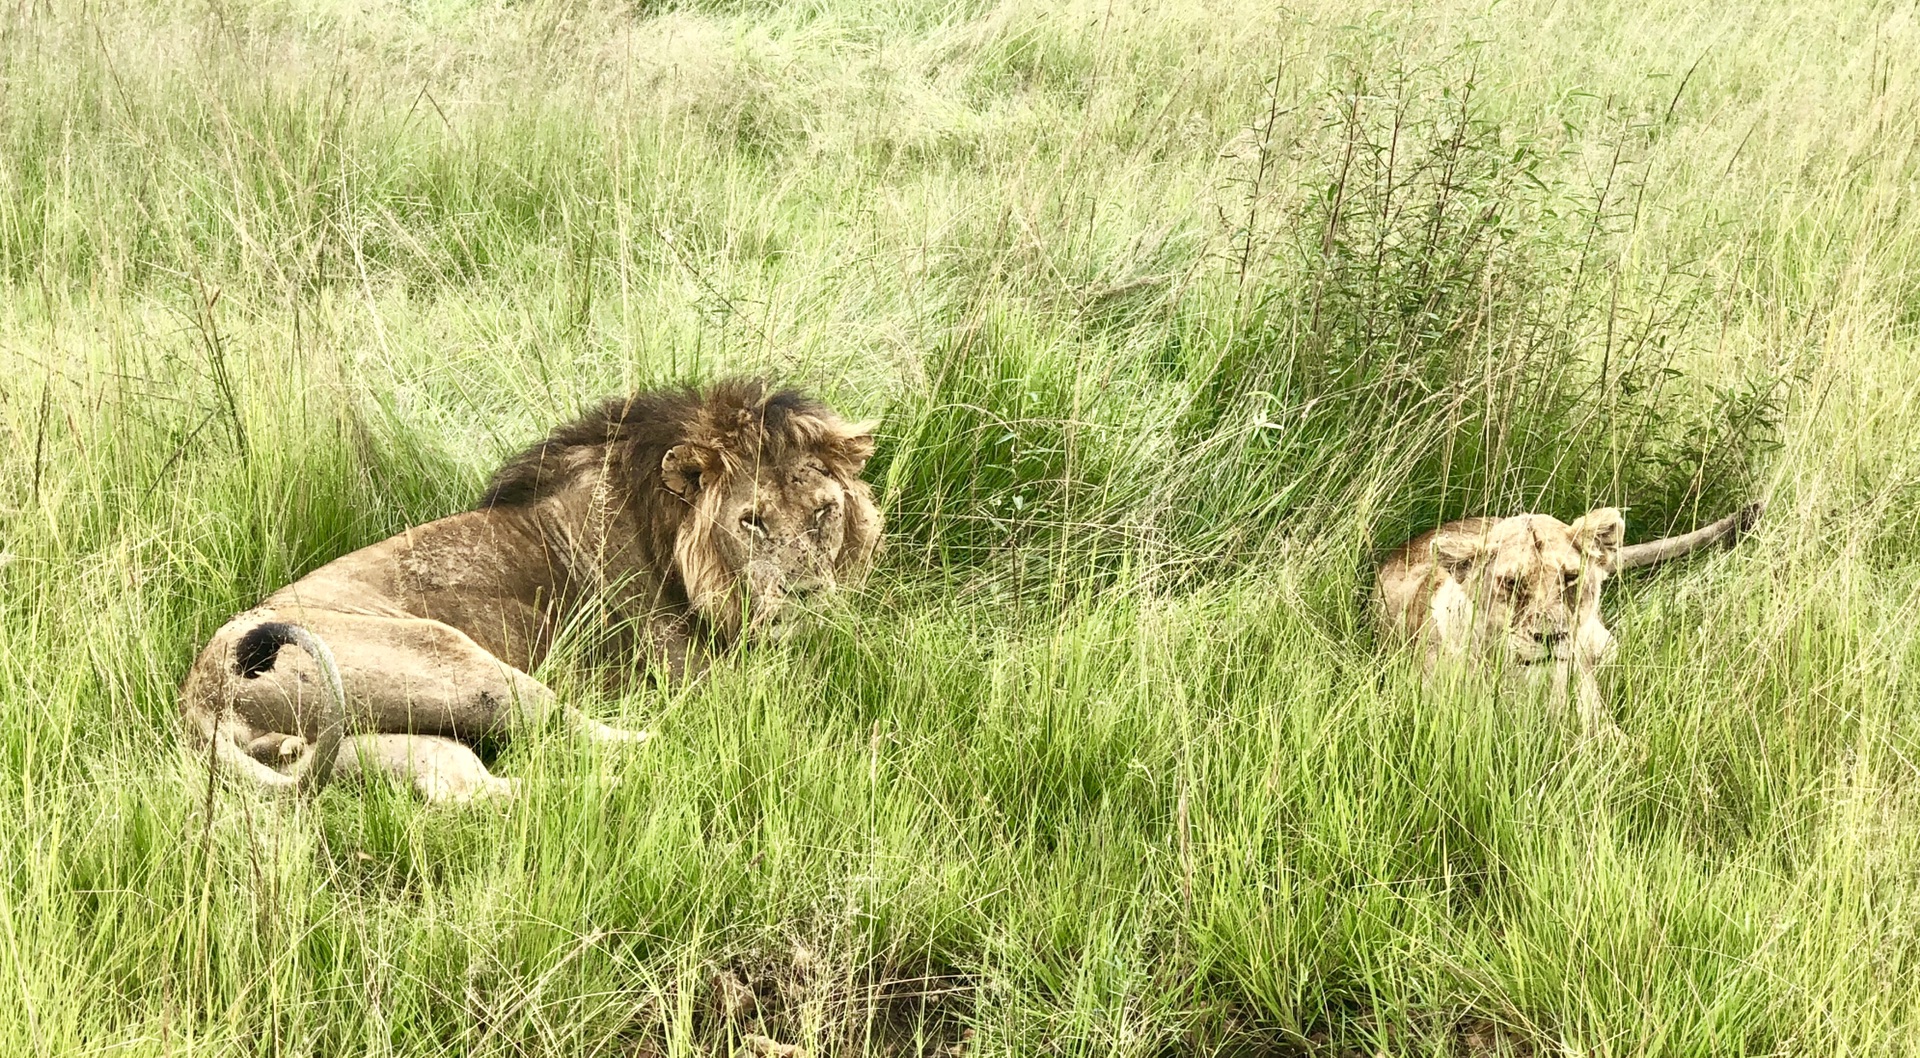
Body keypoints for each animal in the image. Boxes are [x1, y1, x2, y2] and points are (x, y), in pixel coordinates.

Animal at [180, 380, 883, 802]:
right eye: (751, 521)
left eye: (823, 512)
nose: (808, 596)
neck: (663, 527)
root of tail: (198, 692)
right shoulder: (704, 675)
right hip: (449, 661)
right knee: (588, 733)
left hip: (375, 742)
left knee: (473, 792)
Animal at [1374, 503, 1758, 737]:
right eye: (1511, 583)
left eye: (1570, 577)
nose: (1551, 636)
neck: (1522, 681)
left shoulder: (1604, 731)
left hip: (1603, 645)